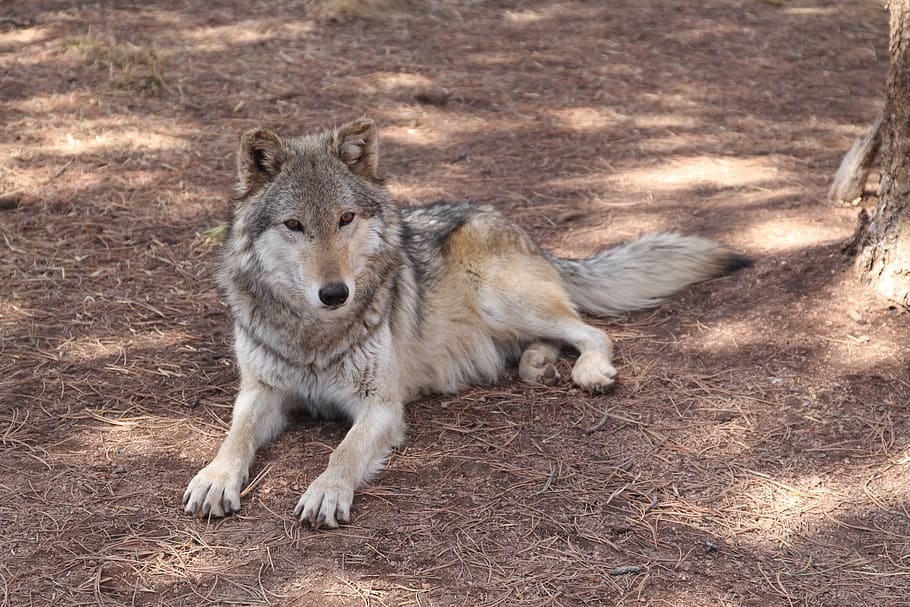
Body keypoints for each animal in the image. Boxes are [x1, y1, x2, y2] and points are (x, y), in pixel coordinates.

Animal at [182, 117, 750, 528]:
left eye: (345, 219)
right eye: (294, 225)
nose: (335, 292)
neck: (314, 333)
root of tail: (516, 225)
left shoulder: (380, 407)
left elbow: (342, 454)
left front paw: (326, 492)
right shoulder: (262, 392)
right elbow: (235, 437)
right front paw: (215, 478)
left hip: (503, 300)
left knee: (591, 331)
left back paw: (586, 371)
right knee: (546, 340)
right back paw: (538, 365)